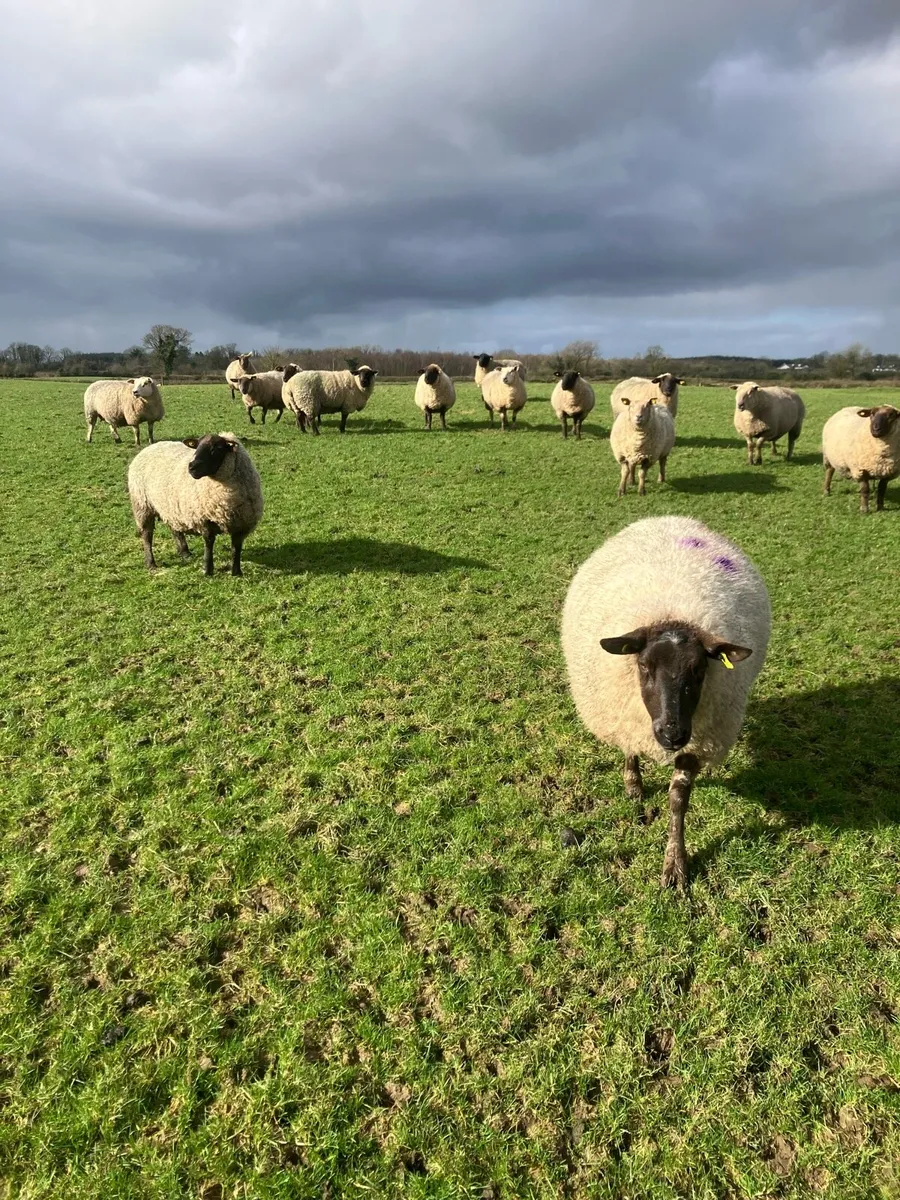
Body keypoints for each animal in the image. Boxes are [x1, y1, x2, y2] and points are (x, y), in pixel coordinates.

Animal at [127, 432, 263, 576]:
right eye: (196, 446)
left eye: (217, 448)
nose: (191, 467)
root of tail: (150, 447)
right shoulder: (205, 519)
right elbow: (209, 543)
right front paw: (207, 570)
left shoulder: (242, 523)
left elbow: (236, 548)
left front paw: (237, 572)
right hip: (142, 506)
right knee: (147, 535)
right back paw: (151, 563)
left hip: (170, 507)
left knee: (174, 529)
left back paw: (184, 552)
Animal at [561, 515, 771, 889]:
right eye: (644, 666)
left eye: (700, 670)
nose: (671, 733)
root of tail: (670, 519)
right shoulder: (630, 716)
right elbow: (630, 749)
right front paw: (634, 787)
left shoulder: (696, 739)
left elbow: (678, 799)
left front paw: (675, 864)